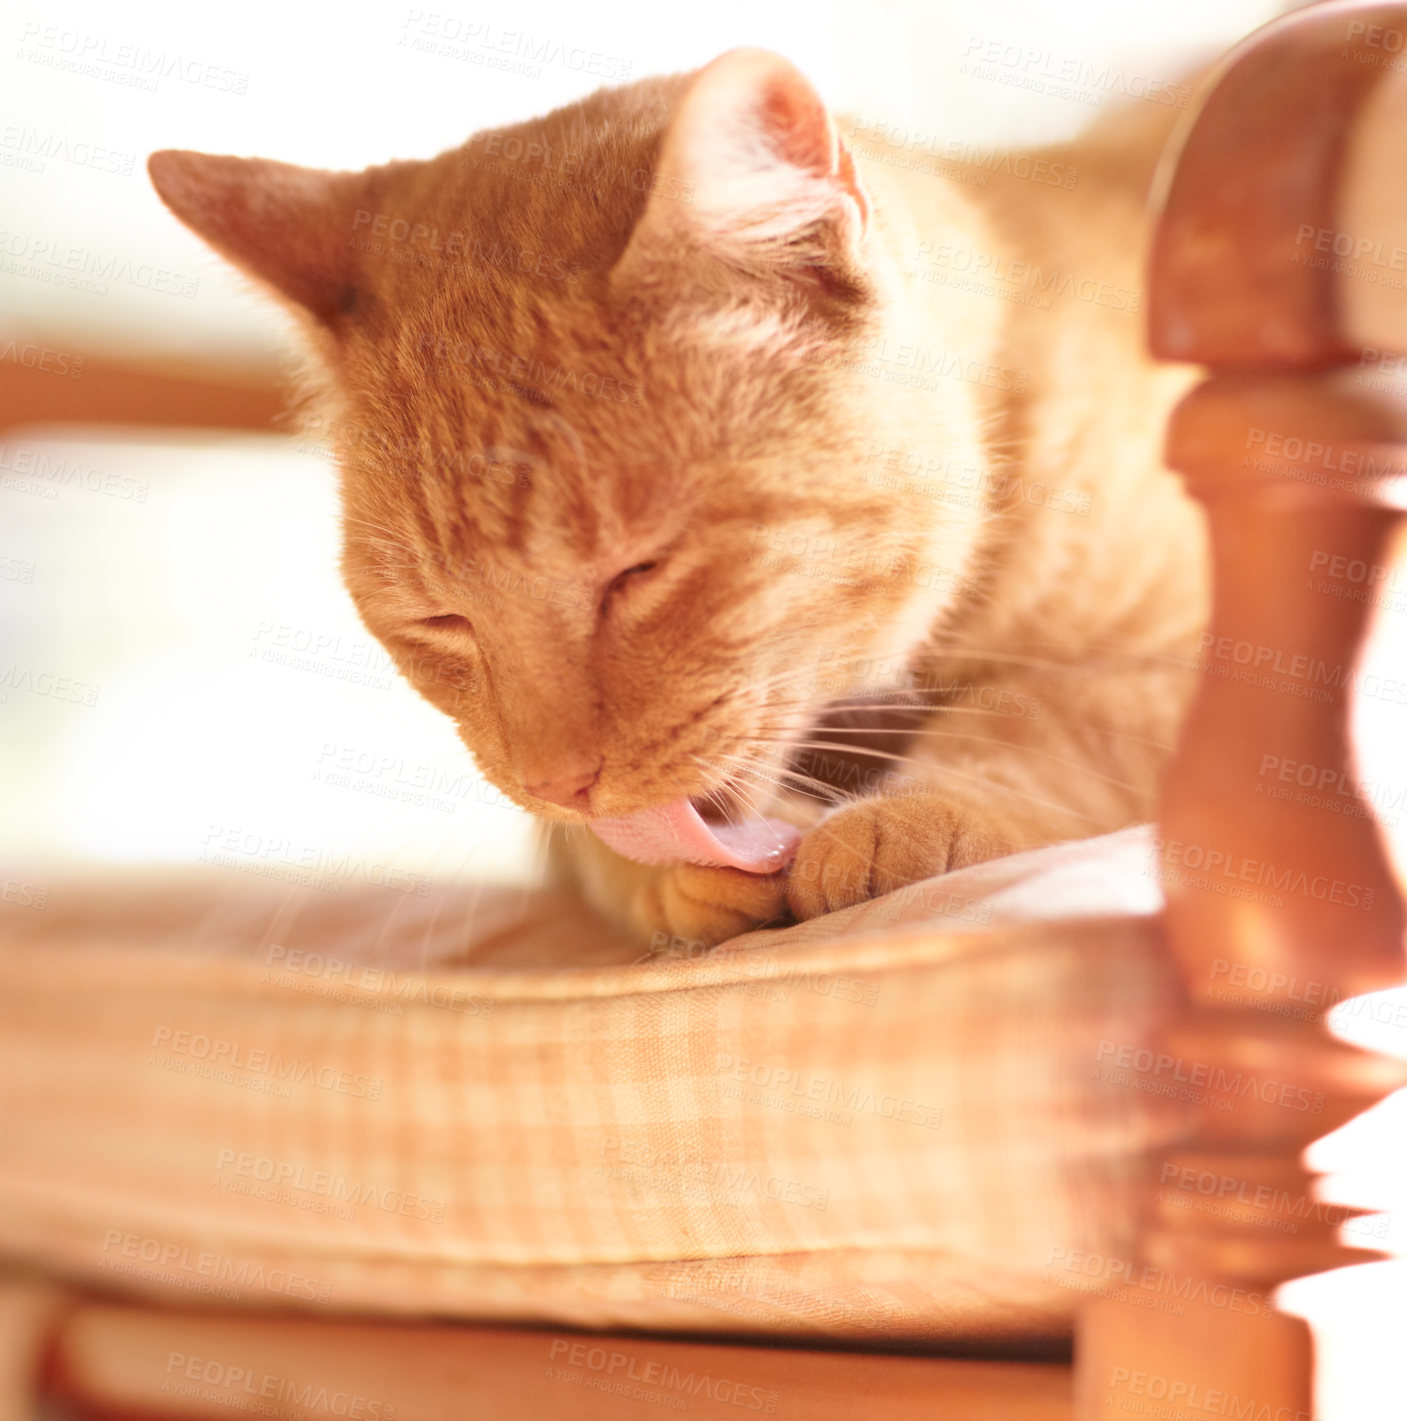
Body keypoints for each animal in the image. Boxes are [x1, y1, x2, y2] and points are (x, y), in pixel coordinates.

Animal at [151, 50, 1210, 949]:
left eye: (638, 574)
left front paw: (921, 810)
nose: (562, 780)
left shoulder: (1201, 657)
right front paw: (662, 871)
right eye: (439, 620)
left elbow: (1050, 719)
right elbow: (589, 849)